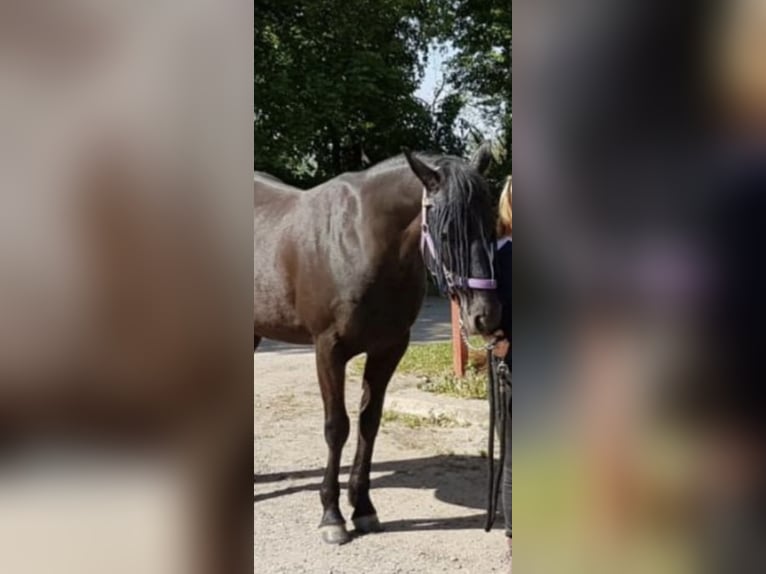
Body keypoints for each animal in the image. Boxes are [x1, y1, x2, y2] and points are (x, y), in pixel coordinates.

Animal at [253, 145, 502, 544]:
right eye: (446, 232)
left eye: (491, 225)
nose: (486, 316)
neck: (360, 240)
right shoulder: (328, 350)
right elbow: (337, 427)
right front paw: (332, 515)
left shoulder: (388, 349)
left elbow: (369, 423)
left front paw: (363, 508)